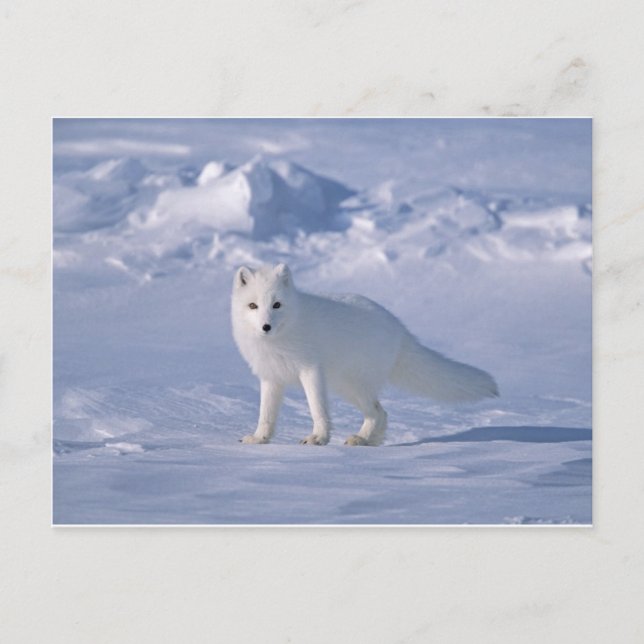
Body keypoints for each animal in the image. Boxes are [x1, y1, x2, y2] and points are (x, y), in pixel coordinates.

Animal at [231, 263, 498, 446]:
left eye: (276, 305)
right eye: (253, 306)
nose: (266, 326)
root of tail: (400, 329)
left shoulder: (310, 370)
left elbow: (317, 409)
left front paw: (318, 438)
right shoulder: (271, 377)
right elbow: (266, 414)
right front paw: (259, 438)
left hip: (351, 384)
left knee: (379, 412)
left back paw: (362, 439)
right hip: (346, 386)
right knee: (381, 413)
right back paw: (368, 440)